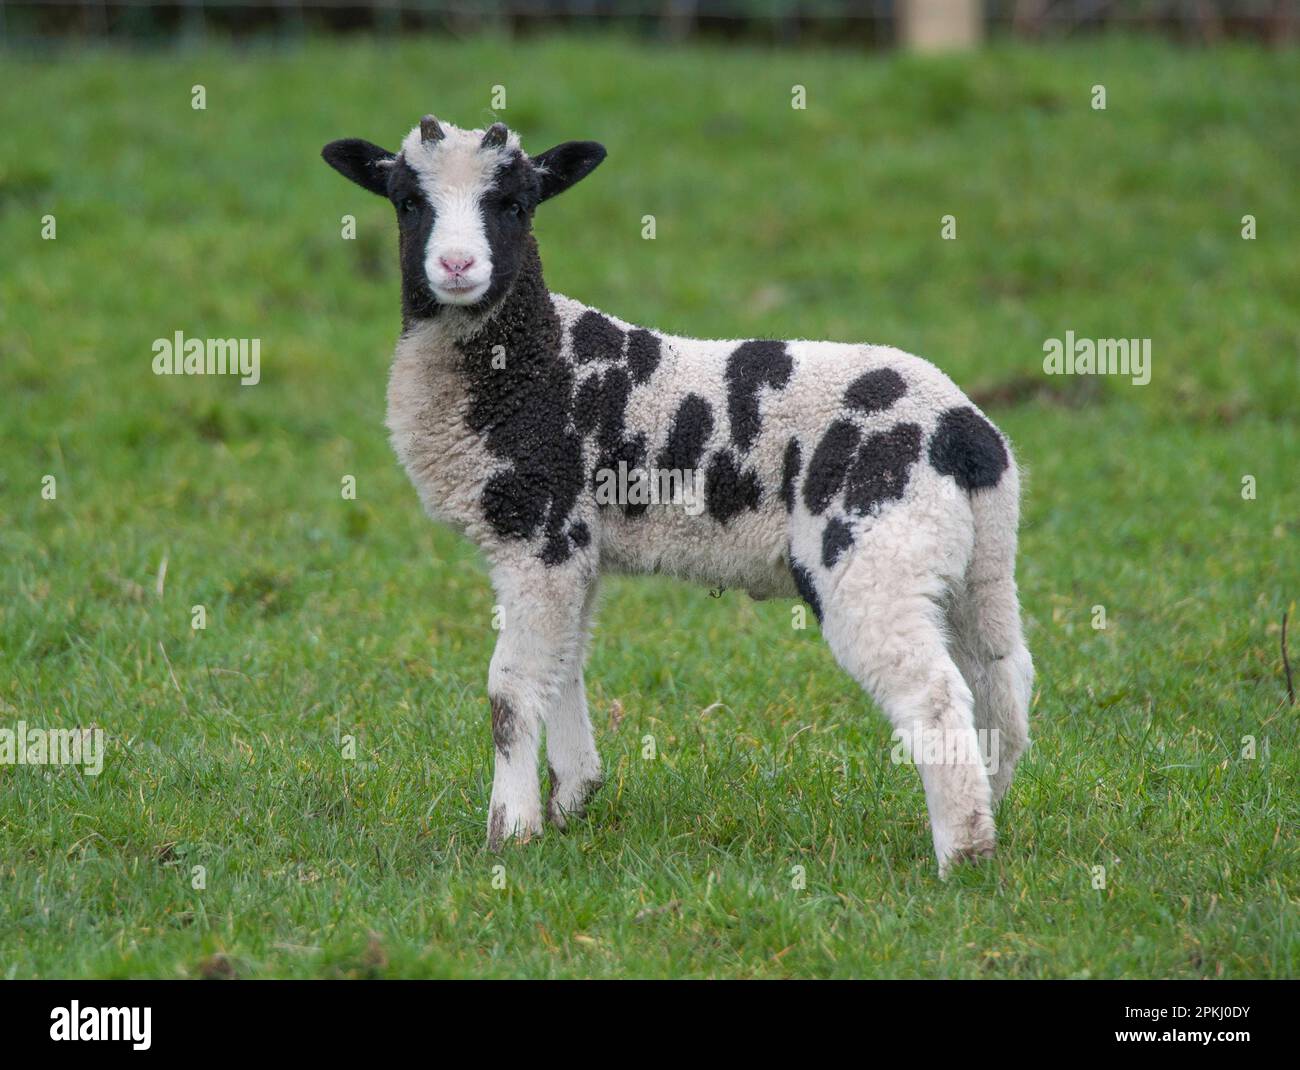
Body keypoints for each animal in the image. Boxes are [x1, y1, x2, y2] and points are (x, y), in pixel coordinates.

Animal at [321, 115, 1033, 874]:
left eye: (514, 205)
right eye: (407, 202)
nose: (457, 266)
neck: (537, 363)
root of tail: (965, 433)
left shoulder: (541, 532)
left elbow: (511, 692)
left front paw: (510, 832)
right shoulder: (577, 548)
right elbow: (563, 667)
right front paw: (573, 797)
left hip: (876, 553)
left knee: (935, 696)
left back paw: (963, 856)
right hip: (975, 565)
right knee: (1001, 680)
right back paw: (990, 815)